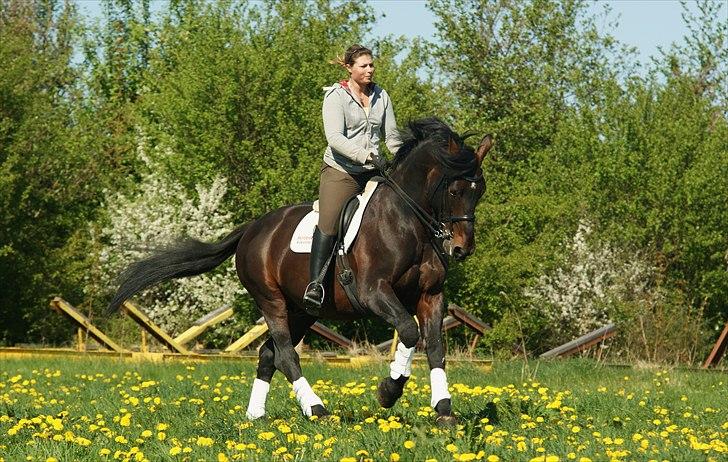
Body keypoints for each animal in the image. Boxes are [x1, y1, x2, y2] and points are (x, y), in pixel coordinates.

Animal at [106, 117, 494, 424]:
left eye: (480, 191)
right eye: (455, 189)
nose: (460, 248)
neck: (408, 222)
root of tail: (253, 229)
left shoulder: (431, 295)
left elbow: (434, 346)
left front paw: (444, 409)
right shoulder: (374, 292)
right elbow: (410, 333)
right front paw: (388, 391)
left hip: (304, 310)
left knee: (268, 354)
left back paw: (256, 416)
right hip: (271, 300)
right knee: (285, 354)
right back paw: (316, 409)